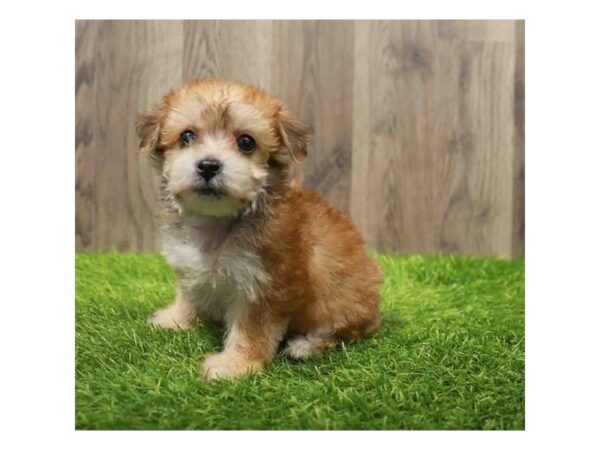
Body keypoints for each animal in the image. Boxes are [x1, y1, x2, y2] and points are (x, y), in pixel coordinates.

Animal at [137, 80, 380, 380]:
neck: (218, 223)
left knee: (342, 331)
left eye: (246, 142)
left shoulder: (264, 286)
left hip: (343, 301)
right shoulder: (187, 264)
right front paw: (175, 318)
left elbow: (250, 331)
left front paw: (234, 365)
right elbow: (188, 294)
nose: (208, 165)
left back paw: (306, 345)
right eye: (186, 137)